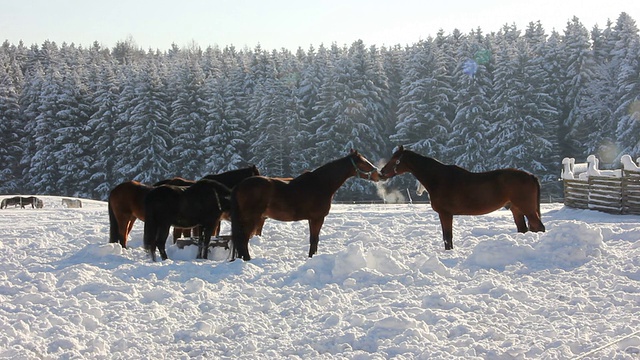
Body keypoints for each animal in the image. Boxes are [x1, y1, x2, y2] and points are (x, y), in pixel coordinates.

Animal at [108, 165, 260, 248]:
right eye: (256, 176)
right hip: (124, 217)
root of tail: (115, 190)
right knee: (122, 234)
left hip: (131, 218)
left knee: (124, 234)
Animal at [229, 149, 380, 262]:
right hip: (251, 219)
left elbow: (313, 239)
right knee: (243, 240)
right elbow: (314, 239)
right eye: (364, 163)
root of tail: (240, 185)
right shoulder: (318, 218)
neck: (321, 183)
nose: (379, 174)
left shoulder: (311, 219)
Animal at [380, 146, 544, 250]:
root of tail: (531, 176)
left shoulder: (445, 214)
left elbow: (447, 237)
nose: (381, 172)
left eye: (395, 159)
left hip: (527, 209)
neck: (439, 179)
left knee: (540, 227)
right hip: (516, 210)